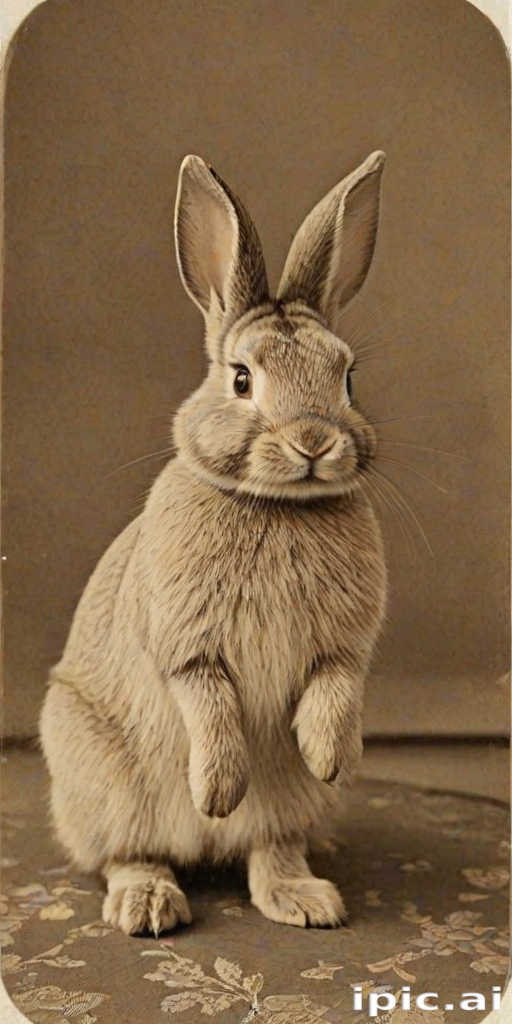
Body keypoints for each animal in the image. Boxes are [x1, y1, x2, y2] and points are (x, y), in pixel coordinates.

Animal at [39, 150, 388, 936]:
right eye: (241, 378)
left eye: (348, 378)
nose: (313, 440)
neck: (282, 506)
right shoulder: (185, 640)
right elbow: (207, 699)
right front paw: (219, 788)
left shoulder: (345, 648)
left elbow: (335, 685)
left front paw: (328, 753)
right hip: (100, 776)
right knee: (129, 851)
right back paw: (148, 902)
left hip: (289, 806)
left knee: (270, 847)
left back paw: (305, 900)